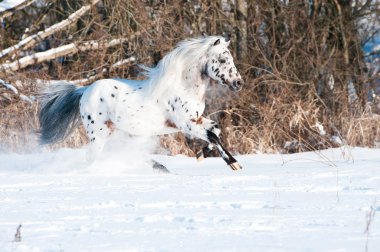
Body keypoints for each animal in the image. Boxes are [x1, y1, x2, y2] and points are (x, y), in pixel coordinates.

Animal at [39, 35, 243, 172]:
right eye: (222, 59)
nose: (238, 83)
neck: (182, 87)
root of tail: (84, 90)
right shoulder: (185, 124)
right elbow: (213, 136)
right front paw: (234, 164)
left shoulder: (197, 120)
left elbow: (216, 130)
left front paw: (201, 156)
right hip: (99, 134)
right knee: (94, 156)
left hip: (119, 132)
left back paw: (160, 168)